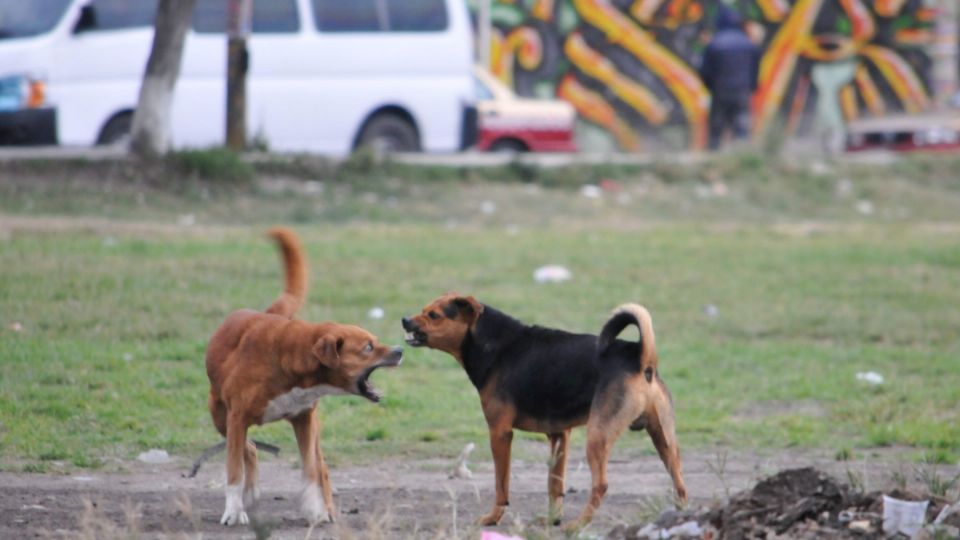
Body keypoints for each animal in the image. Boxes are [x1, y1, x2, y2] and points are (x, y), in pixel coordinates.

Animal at [208, 229, 404, 528]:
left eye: (375, 341)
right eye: (368, 347)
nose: (400, 350)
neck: (289, 358)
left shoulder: (304, 420)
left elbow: (311, 470)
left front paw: (315, 509)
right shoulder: (237, 418)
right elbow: (233, 470)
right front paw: (233, 511)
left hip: (309, 429)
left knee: (318, 465)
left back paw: (327, 507)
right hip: (220, 416)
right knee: (248, 449)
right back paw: (249, 494)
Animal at [402, 296, 688, 528]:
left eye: (434, 315)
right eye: (423, 310)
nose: (404, 320)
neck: (496, 346)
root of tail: (639, 356)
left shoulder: (500, 433)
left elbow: (501, 484)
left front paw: (493, 518)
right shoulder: (559, 435)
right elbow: (554, 485)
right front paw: (553, 520)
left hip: (598, 437)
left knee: (601, 485)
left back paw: (578, 525)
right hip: (663, 440)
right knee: (679, 482)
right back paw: (681, 517)